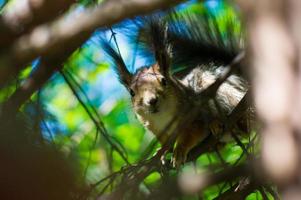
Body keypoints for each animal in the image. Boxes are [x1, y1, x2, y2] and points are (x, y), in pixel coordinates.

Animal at [101, 7, 248, 167]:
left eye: (164, 81)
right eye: (132, 92)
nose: (152, 101)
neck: (163, 117)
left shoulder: (195, 115)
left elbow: (191, 133)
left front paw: (179, 151)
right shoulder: (157, 131)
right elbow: (165, 144)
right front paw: (162, 153)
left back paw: (220, 124)